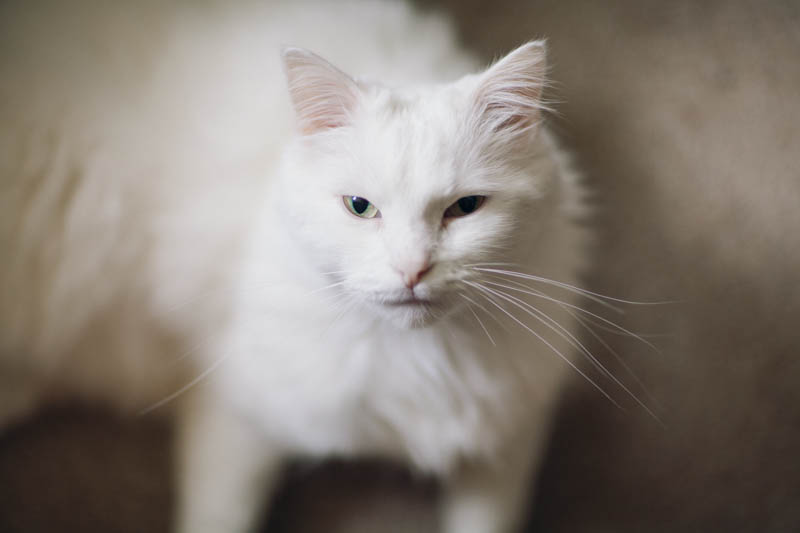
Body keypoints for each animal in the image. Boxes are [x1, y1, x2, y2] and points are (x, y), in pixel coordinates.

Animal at [0, 2, 588, 528]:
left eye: (465, 208)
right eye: (359, 207)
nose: (412, 269)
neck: (417, 361)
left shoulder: (512, 434)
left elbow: (490, 517)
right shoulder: (236, 416)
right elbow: (220, 515)